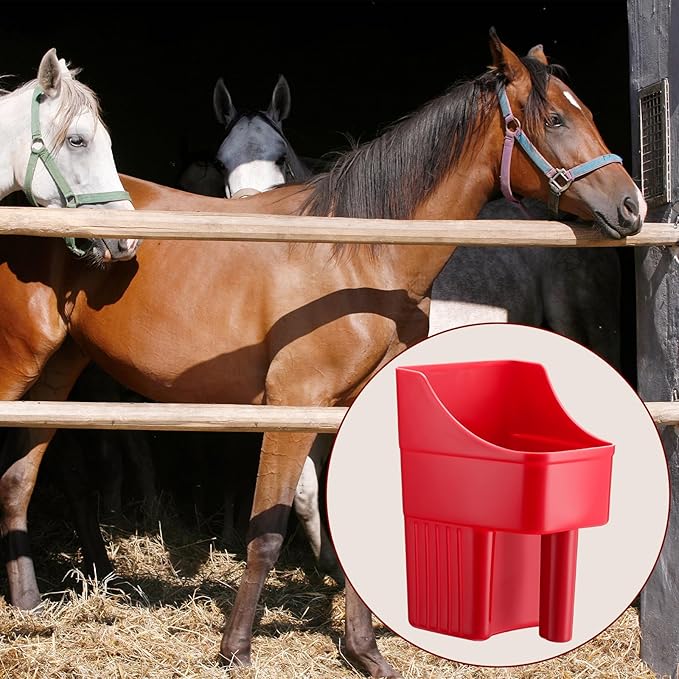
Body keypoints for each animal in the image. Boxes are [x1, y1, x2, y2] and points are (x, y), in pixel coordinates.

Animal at [0, 32, 645, 678]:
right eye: (556, 119)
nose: (632, 205)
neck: (357, 254)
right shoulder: (292, 406)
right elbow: (268, 531)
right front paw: (236, 649)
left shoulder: (348, 406)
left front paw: (366, 653)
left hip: (57, 374)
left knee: (20, 478)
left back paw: (30, 603)